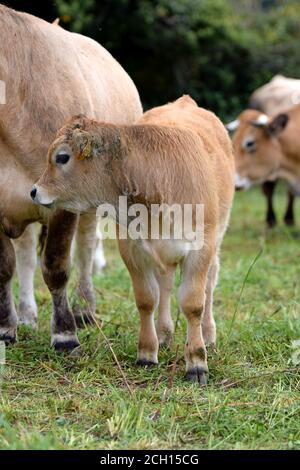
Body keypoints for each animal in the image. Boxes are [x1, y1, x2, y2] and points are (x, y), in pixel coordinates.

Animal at [0, 5, 142, 350]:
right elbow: (6, 267)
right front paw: (7, 328)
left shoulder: (63, 203)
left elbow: (56, 265)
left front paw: (65, 333)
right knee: (26, 253)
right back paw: (27, 314)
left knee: (87, 249)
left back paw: (85, 310)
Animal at [32, 96, 234, 386]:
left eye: (62, 157)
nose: (34, 191)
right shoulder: (132, 250)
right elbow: (147, 299)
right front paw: (147, 352)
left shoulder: (200, 250)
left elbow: (193, 303)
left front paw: (197, 361)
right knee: (165, 286)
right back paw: (164, 334)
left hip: (215, 240)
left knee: (209, 285)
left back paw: (208, 334)